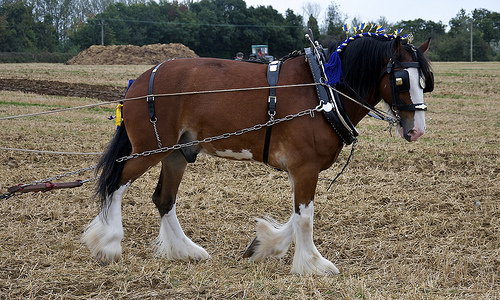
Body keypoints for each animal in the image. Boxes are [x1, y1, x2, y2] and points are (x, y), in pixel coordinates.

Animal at [83, 34, 434, 274]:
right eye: (401, 80)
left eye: (424, 81)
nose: (417, 130)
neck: (322, 90)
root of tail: (139, 80)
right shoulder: (305, 167)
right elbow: (305, 217)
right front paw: (312, 264)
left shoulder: (299, 169)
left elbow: (297, 214)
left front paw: (264, 245)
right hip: (149, 149)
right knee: (116, 184)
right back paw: (109, 244)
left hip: (176, 154)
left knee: (163, 199)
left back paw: (186, 250)